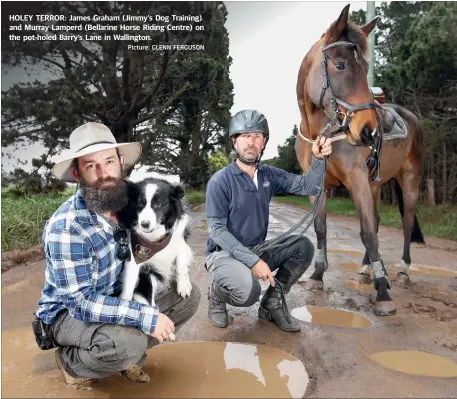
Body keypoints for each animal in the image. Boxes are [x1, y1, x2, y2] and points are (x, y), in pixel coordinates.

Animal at [117, 175, 192, 310]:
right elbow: (130, 283)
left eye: (158, 203)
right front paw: (125, 302)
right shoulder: (134, 254)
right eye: (140, 203)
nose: (144, 224)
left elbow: (180, 266)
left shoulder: (179, 240)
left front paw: (184, 286)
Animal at [296, 3, 424, 316]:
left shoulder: (356, 181)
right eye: (340, 65)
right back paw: (367, 268)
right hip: (374, 184)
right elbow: (322, 228)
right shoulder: (320, 186)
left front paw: (383, 293)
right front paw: (317, 275)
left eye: (366, 69)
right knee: (376, 219)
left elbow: (367, 232)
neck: (321, 133)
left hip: (409, 181)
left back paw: (402, 269)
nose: (369, 131)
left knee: (405, 222)